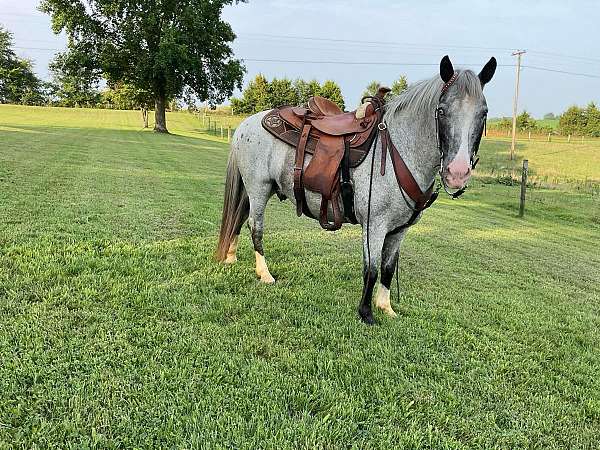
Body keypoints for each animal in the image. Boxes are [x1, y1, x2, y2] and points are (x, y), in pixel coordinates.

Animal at [216, 55, 496, 324]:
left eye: (483, 113)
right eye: (441, 110)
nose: (457, 173)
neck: (398, 151)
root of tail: (246, 124)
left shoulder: (399, 230)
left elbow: (388, 268)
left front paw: (385, 307)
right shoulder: (375, 225)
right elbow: (371, 268)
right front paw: (366, 313)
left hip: (256, 189)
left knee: (239, 217)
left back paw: (230, 256)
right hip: (259, 188)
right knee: (255, 227)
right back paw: (264, 274)